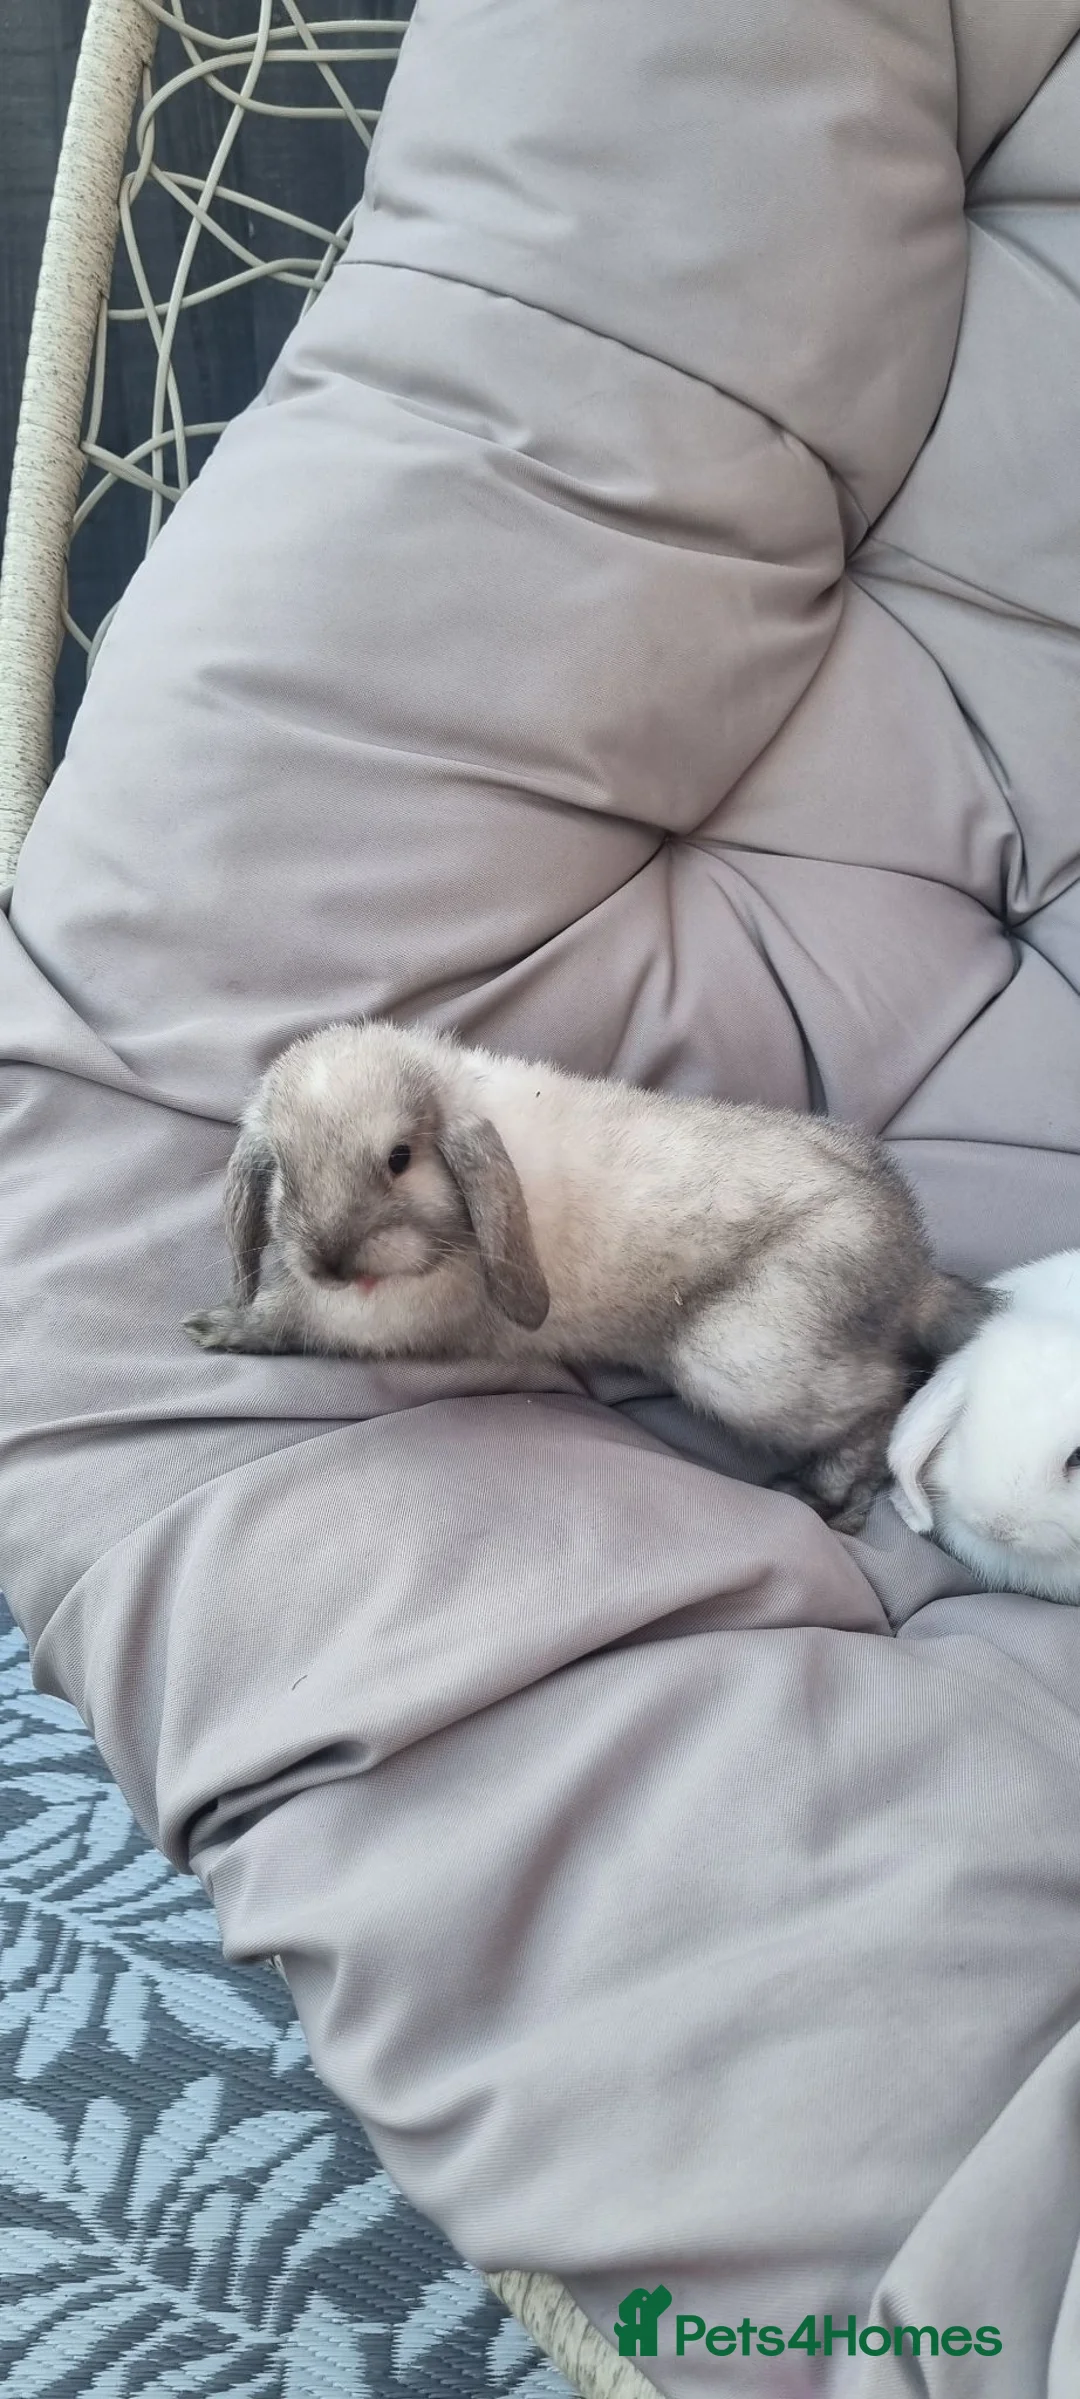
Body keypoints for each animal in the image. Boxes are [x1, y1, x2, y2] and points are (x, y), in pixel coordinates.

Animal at [184, 1019, 993, 1532]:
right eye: (283, 1171)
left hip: (745, 1362)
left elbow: (293, 1317)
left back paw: (828, 1496)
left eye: (399, 1158)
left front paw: (218, 1326)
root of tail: (914, 1277)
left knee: (881, 1402)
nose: (330, 1258)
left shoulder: (379, 1318)